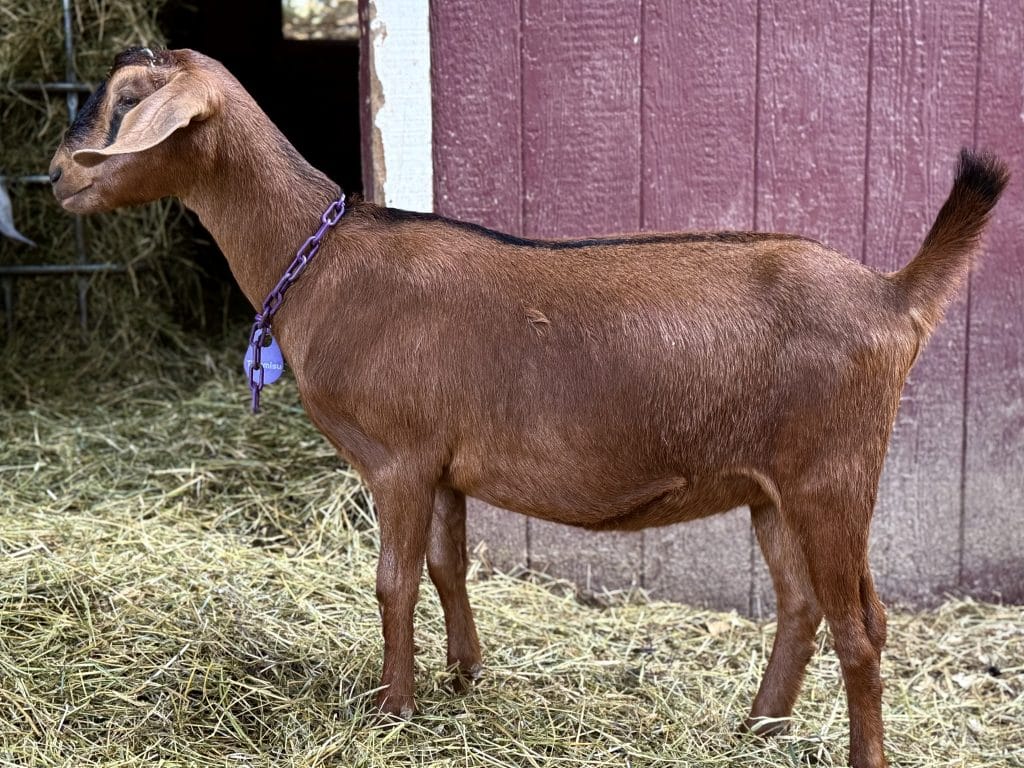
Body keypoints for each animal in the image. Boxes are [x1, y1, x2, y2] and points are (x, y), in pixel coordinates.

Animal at [49, 48, 1008, 768]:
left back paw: (853, 754)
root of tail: (892, 295)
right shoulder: (442, 463)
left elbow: (393, 581)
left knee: (860, 627)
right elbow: (448, 569)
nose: (57, 176)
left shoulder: (397, 458)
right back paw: (756, 727)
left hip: (831, 474)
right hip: (773, 485)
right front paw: (463, 677)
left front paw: (390, 710)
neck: (323, 260)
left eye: (130, 103)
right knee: (803, 606)